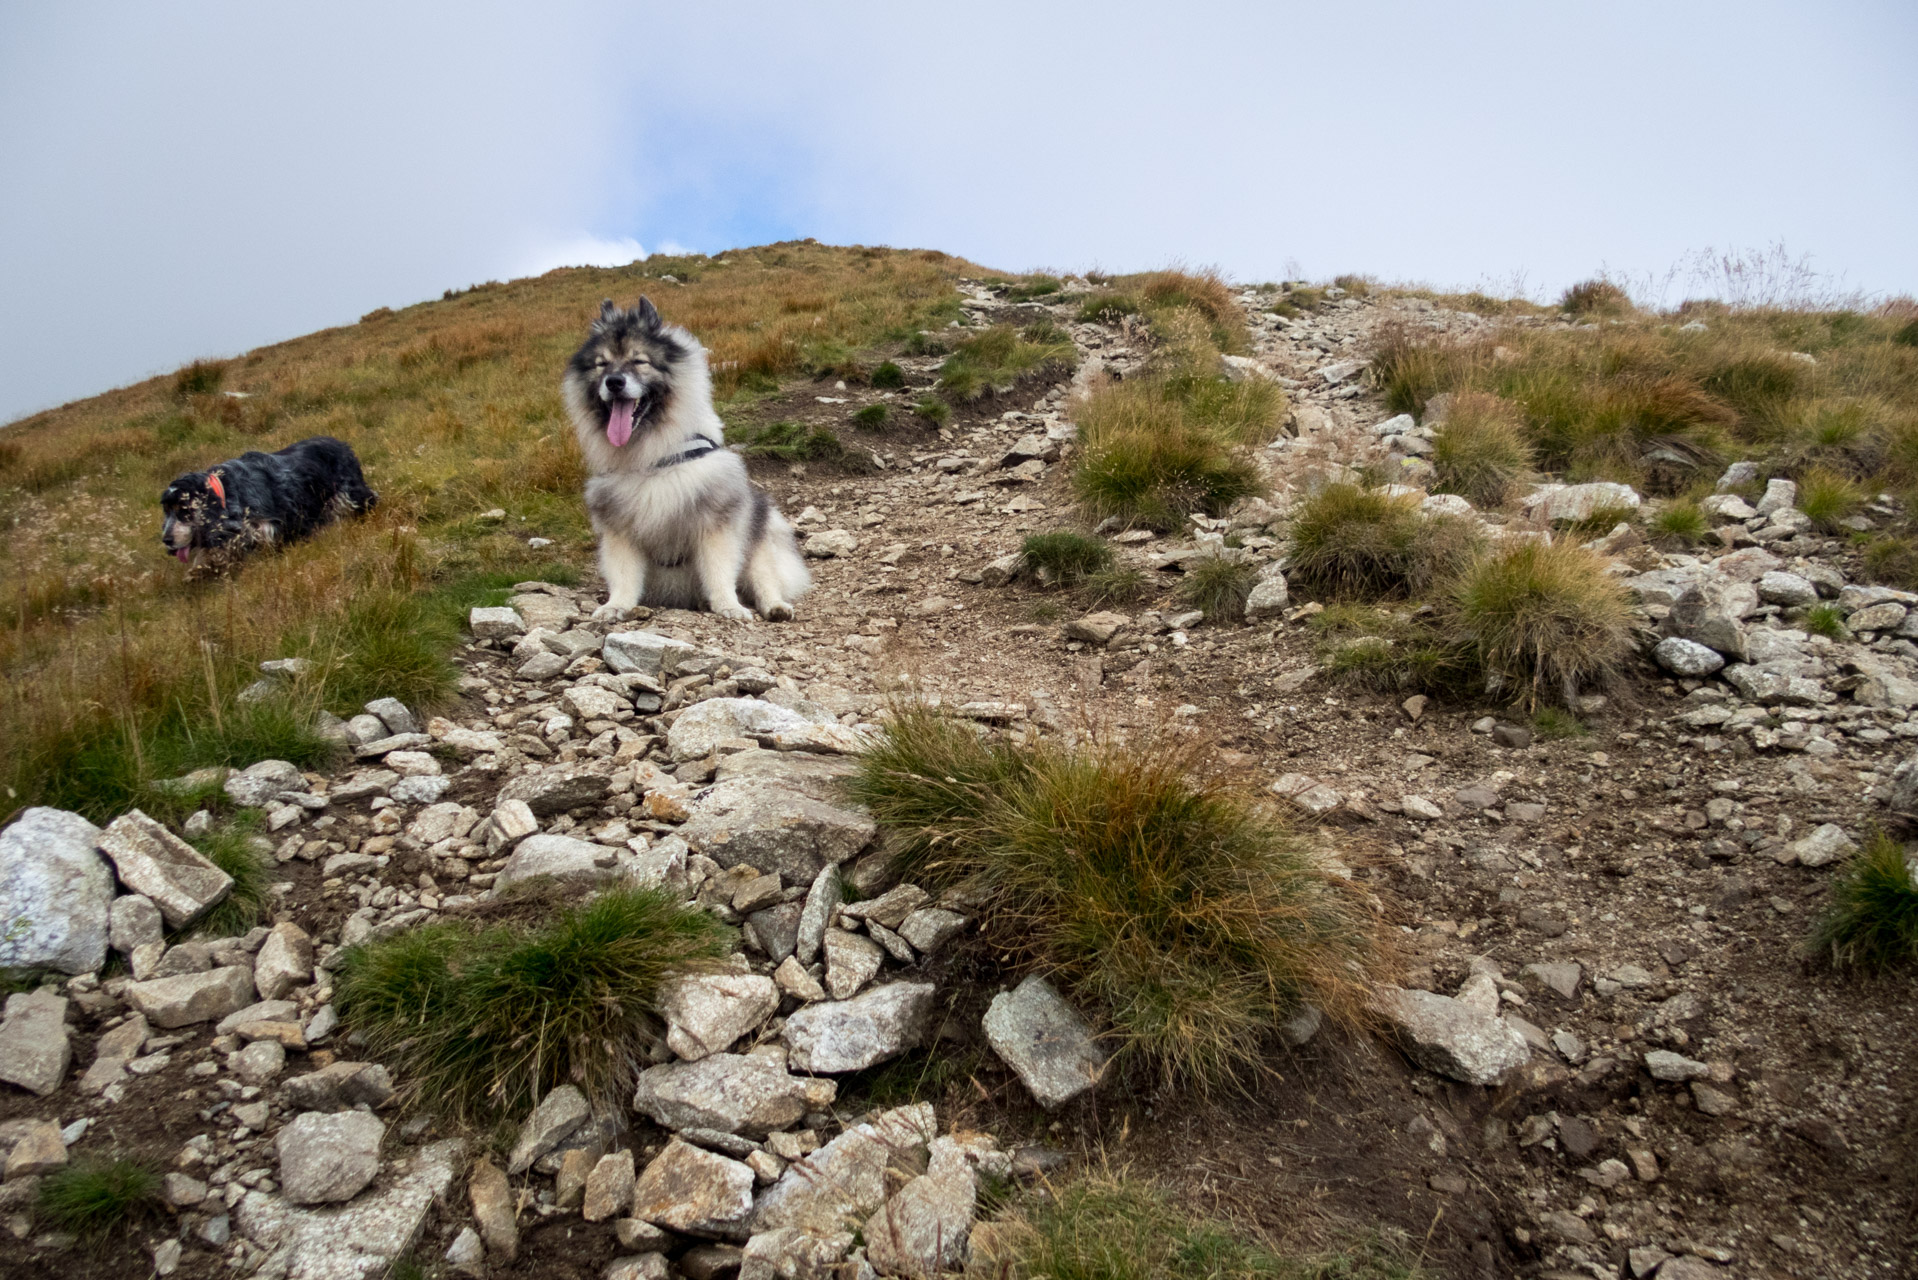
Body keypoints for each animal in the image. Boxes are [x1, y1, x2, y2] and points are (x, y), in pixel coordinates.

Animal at [163, 435, 379, 564]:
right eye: (166, 511)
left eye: (184, 510)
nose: (166, 540)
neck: (225, 492)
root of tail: (341, 444)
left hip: (349, 493)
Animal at [563, 297, 813, 625]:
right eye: (601, 364)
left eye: (639, 361)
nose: (614, 382)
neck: (652, 456)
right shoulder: (620, 529)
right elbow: (624, 575)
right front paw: (615, 606)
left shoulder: (715, 524)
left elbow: (719, 571)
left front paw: (728, 606)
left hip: (761, 541)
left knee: (765, 581)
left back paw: (775, 607)